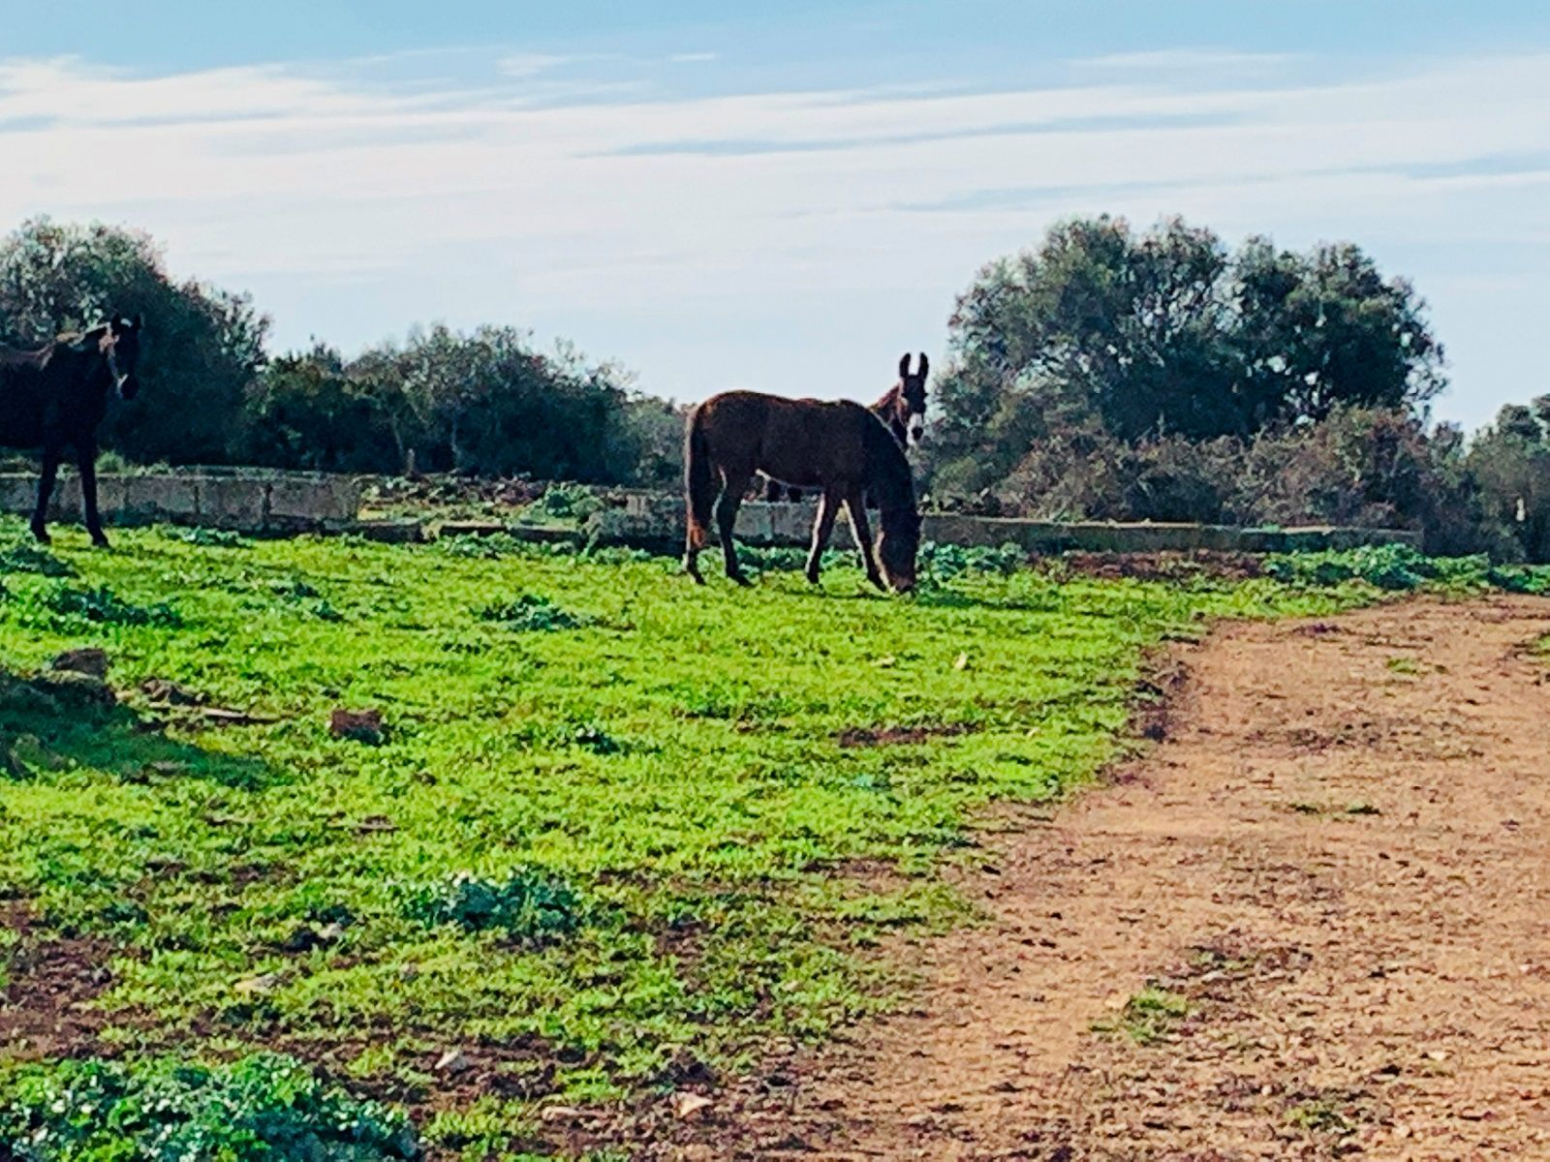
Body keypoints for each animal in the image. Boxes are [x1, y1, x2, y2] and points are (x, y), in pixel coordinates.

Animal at [0, 319, 145, 551]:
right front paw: (39, 531)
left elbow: (89, 484)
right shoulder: (54, 438)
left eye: (137, 347)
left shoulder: (84, 437)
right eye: (116, 345)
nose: (128, 387)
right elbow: (47, 482)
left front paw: (98, 535)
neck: (77, 377)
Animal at [682, 393, 917, 594]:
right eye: (906, 545)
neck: (864, 437)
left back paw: (695, 571)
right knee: (723, 515)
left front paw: (874, 578)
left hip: (714, 475)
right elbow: (823, 530)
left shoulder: (852, 491)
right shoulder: (837, 488)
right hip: (737, 475)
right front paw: (812, 574)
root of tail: (704, 407)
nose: (906, 586)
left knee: (699, 515)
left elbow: (862, 534)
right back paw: (735, 573)